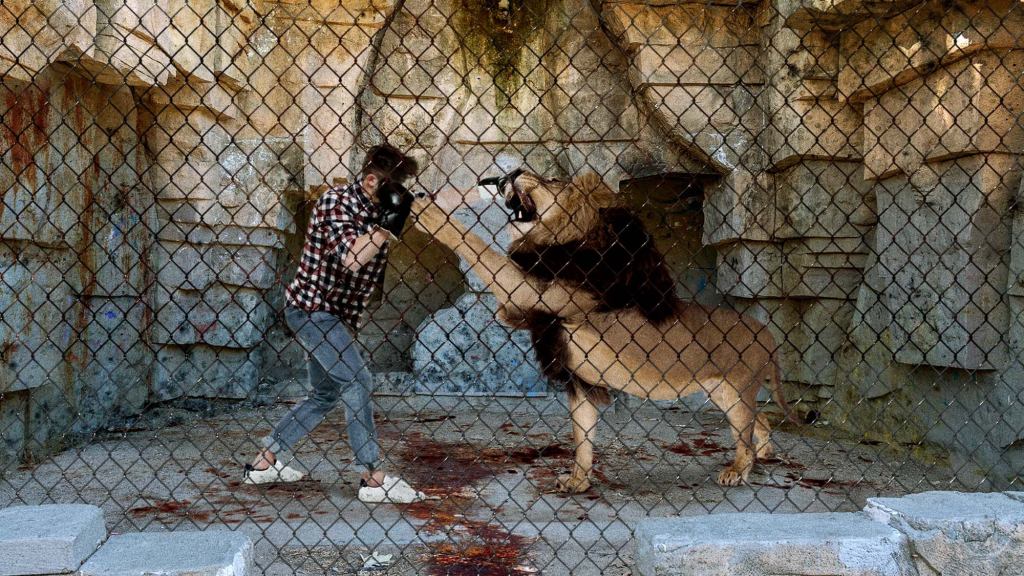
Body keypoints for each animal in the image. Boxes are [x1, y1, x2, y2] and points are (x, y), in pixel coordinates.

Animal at [411, 170, 794, 487]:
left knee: (744, 432)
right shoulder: (549, 339)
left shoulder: (535, 293)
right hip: (721, 391)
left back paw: (738, 470)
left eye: (551, 179)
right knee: (758, 419)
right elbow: (582, 434)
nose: (512, 174)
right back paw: (765, 450)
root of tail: (767, 333)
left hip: (736, 390)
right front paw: (578, 481)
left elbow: (482, 250)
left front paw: (425, 211)